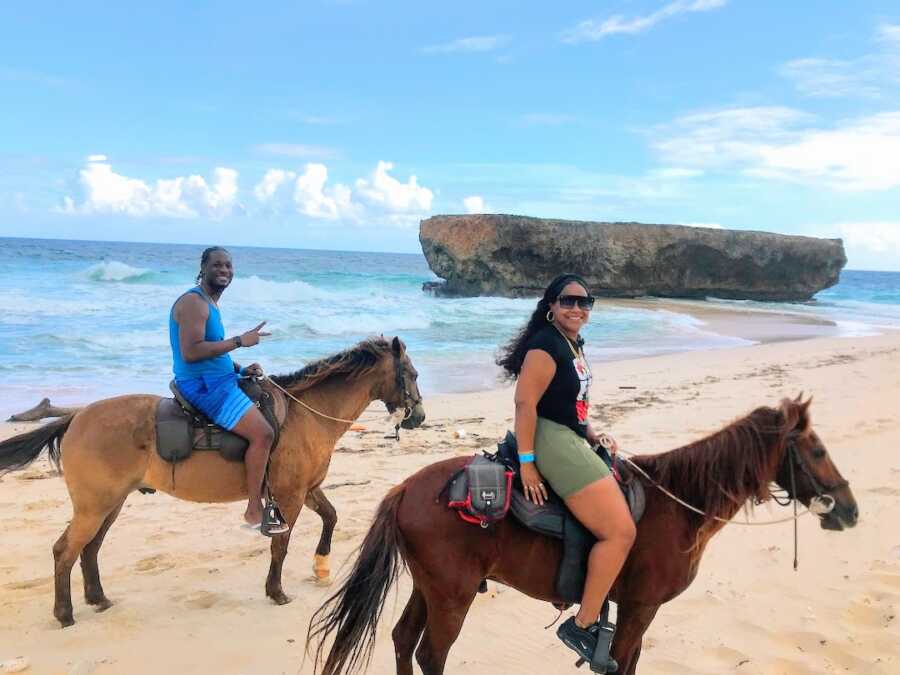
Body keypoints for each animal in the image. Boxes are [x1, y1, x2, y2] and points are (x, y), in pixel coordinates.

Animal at [0, 338, 426, 628]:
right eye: (413, 374)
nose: (419, 416)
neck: (307, 414)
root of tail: (76, 416)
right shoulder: (289, 496)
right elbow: (280, 545)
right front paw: (276, 591)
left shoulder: (306, 490)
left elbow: (332, 517)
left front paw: (320, 566)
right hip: (95, 505)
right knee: (65, 551)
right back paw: (65, 613)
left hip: (111, 503)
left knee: (89, 549)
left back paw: (98, 599)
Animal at [308, 396, 856, 675]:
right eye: (817, 451)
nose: (849, 510)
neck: (677, 503)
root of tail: (407, 487)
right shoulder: (639, 609)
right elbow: (619, 664)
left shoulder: (636, 610)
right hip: (452, 596)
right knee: (430, 654)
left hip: (432, 589)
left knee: (403, 642)